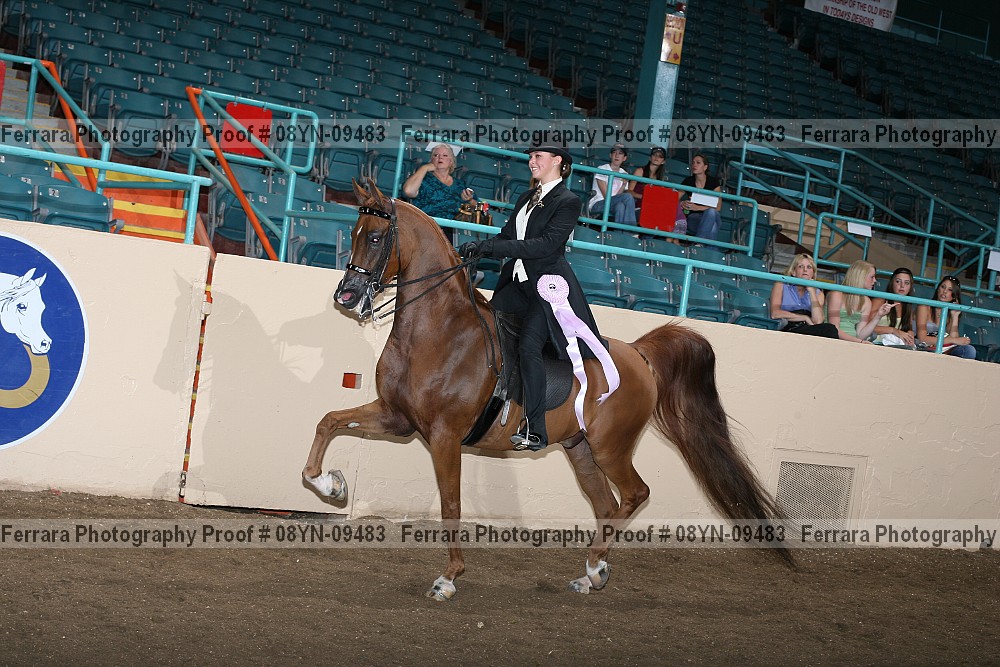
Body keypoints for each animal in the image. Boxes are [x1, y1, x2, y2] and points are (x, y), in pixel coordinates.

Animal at [302, 179, 794, 601]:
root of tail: (638, 354)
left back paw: (595, 566)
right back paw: (591, 573)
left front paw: (449, 577)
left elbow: (451, 503)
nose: (346, 295)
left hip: (611, 447)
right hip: (580, 448)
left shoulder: (444, 437)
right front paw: (330, 485)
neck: (439, 332)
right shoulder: (396, 417)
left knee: (634, 495)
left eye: (376, 238)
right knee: (605, 504)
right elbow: (328, 421)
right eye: (354, 232)